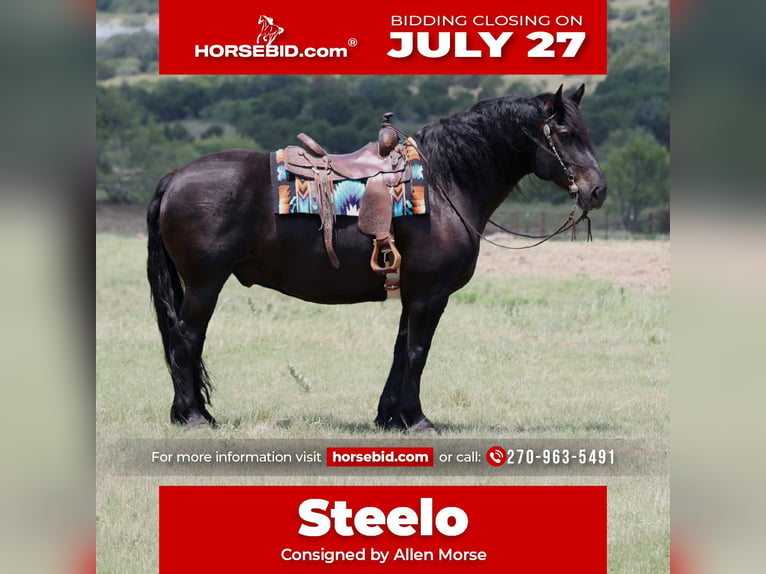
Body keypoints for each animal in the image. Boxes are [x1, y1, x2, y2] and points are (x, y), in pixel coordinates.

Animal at [146, 85, 606, 430]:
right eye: (565, 132)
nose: (597, 190)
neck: (444, 183)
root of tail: (176, 177)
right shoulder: (430, 294)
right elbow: (419, 351)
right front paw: (417, 420)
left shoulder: (413, 293)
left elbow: (401, 350)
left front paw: (390, 417)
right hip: (205, 284)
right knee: (185, 339)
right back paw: (192, 416)